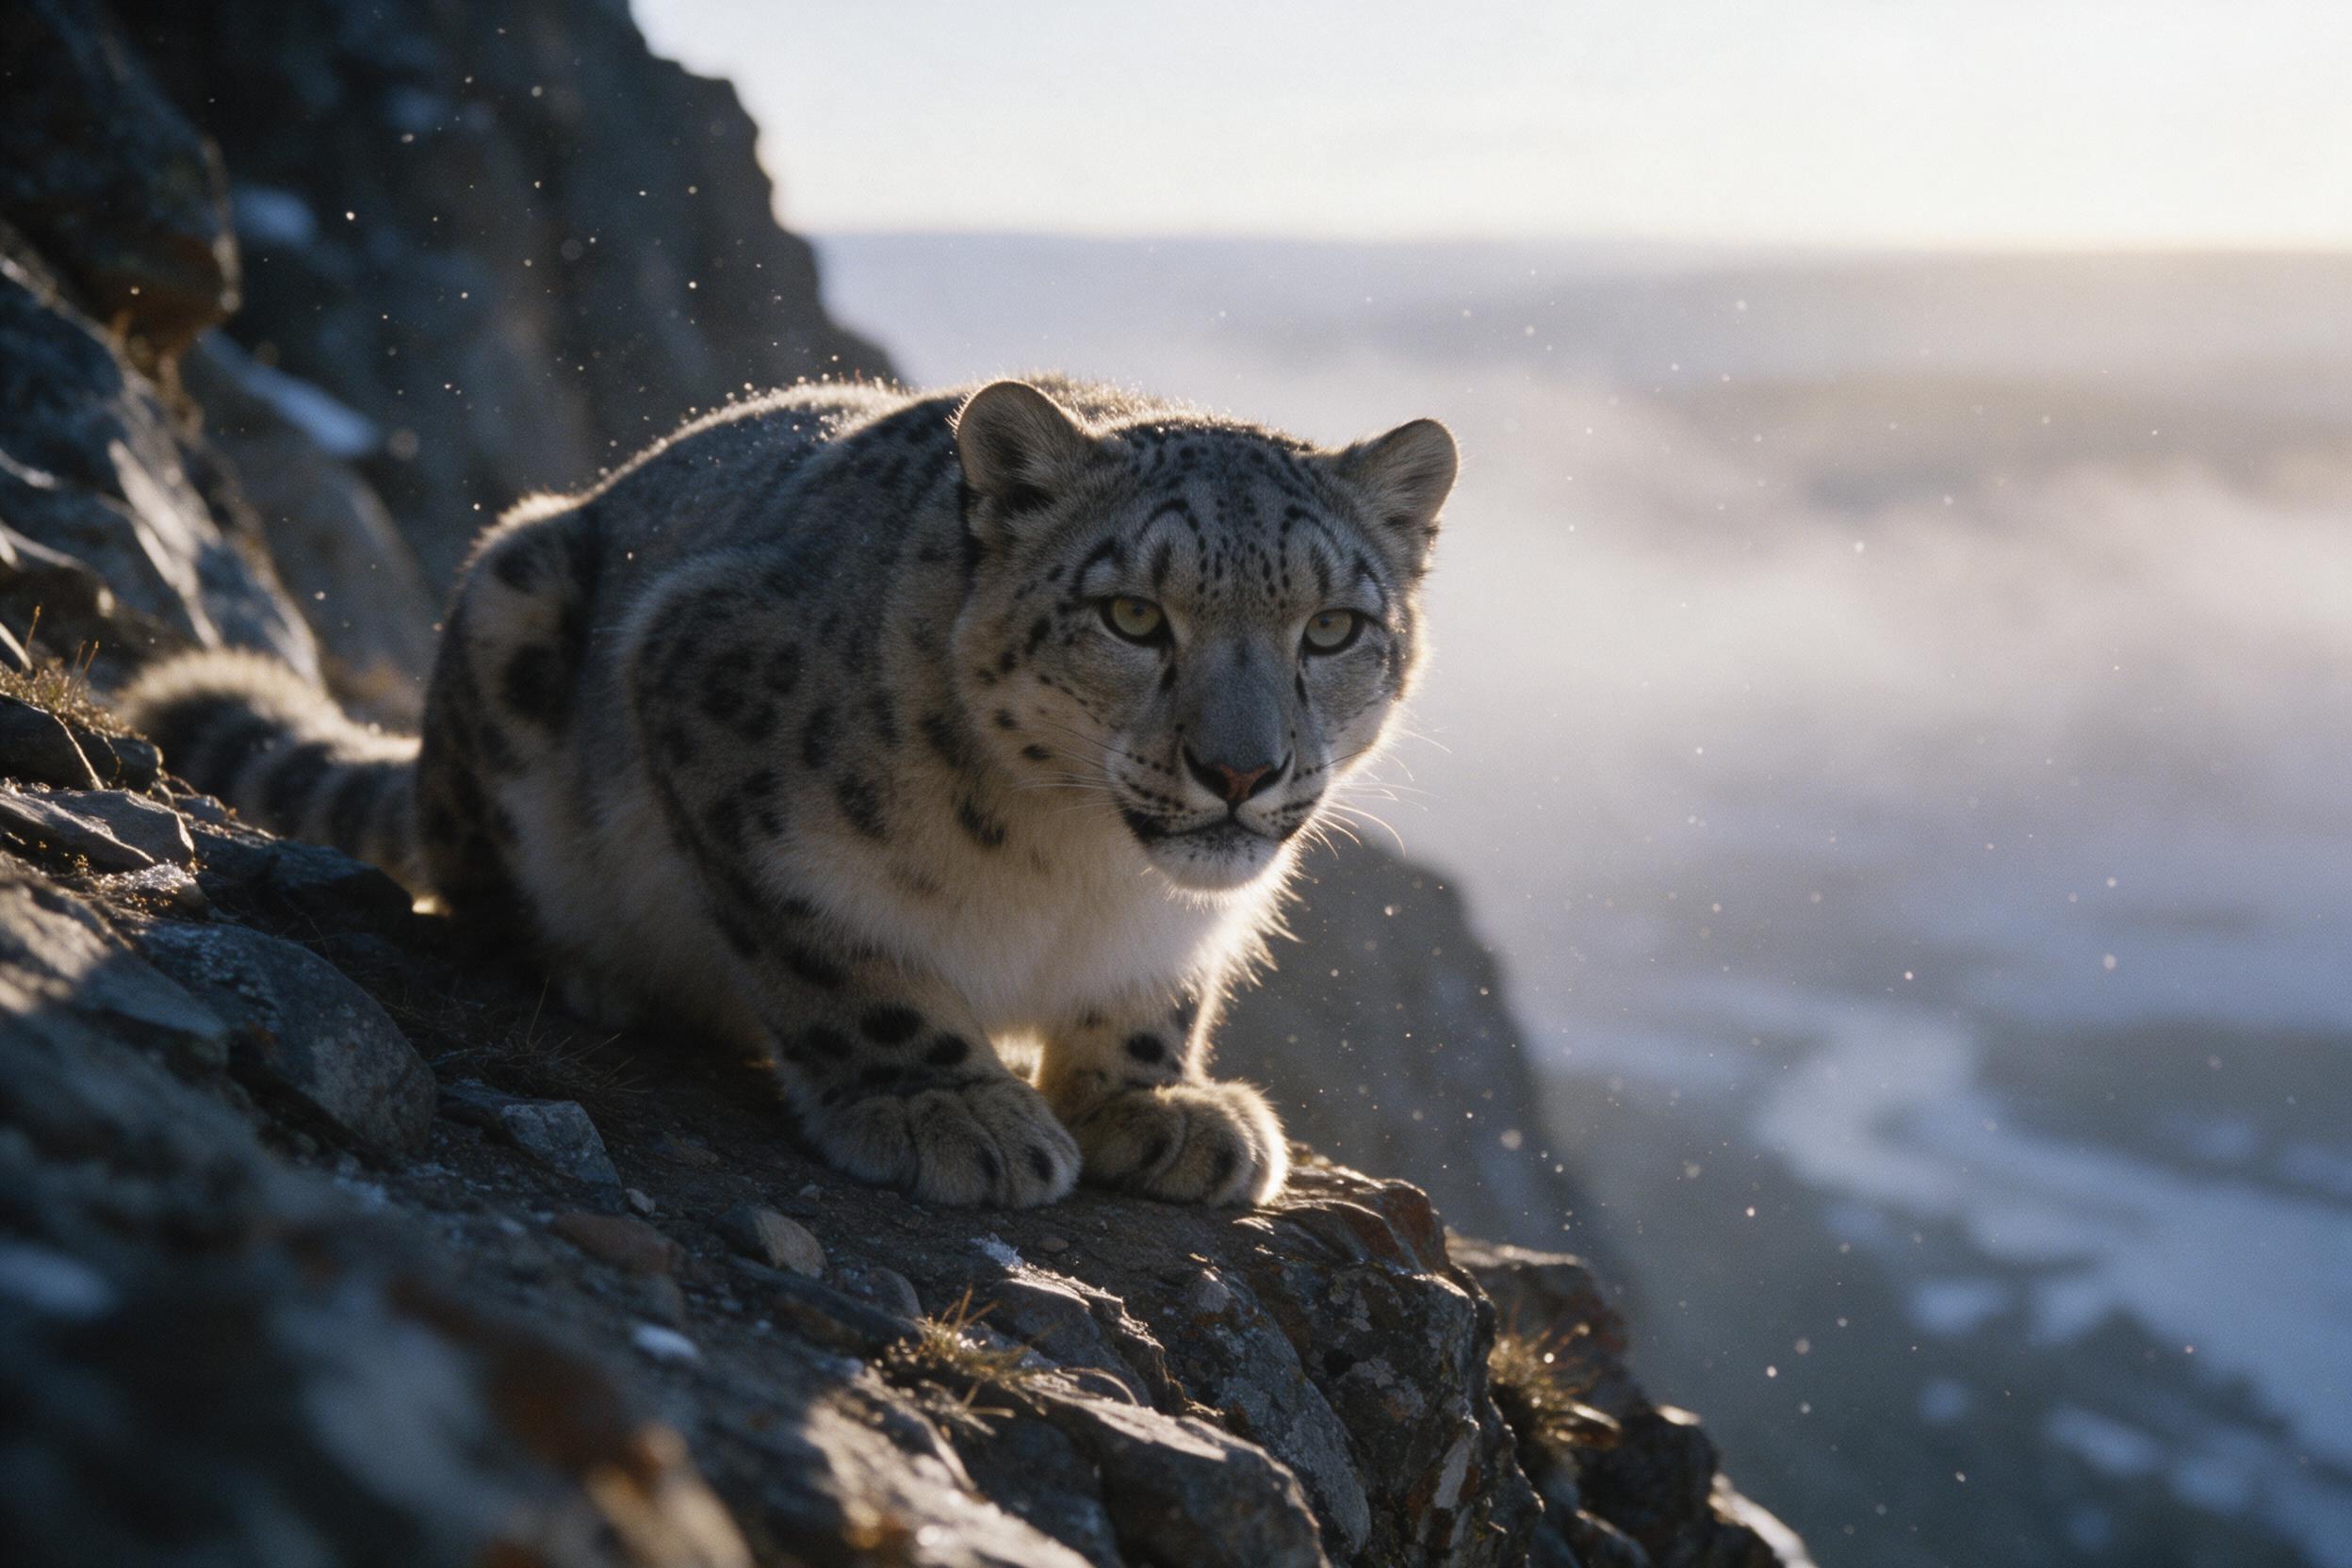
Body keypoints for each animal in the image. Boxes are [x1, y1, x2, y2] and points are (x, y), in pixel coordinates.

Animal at [121, 376, 1457, 1208]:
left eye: (1332, 627)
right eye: (1133, 614)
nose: (1240, 770)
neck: (1078, 871)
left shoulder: (1177, 925)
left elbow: (1152, 997)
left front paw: (1159, 1098)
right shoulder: (708, 711)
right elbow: (839, 957)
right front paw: (946, 1104)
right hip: (515, 595)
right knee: (472, 881)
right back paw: (595, 972)